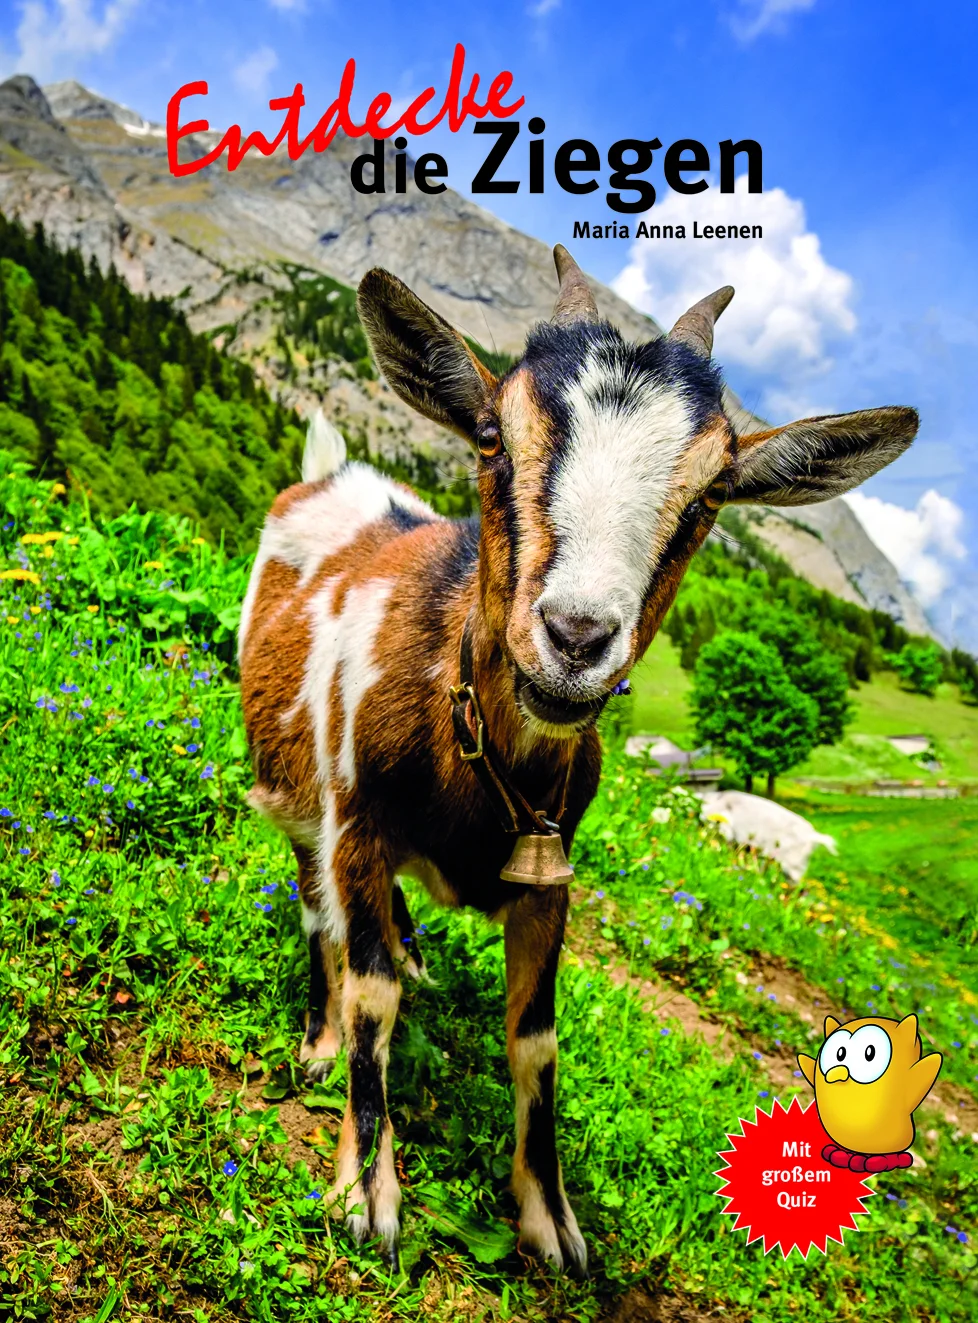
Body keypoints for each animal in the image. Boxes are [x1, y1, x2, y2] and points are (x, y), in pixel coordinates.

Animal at [238, 246, 917, 1272]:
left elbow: (535, 1038)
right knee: (319, 910)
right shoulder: (356, 821)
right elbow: (370, 994)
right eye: (490, 435)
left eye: (712, 493)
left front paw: (550, 1218)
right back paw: (318, 1034)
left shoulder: (549, 877)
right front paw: (365, 1194)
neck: (476, 758)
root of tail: (329, 476)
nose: (575, 637)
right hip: (297, 792)